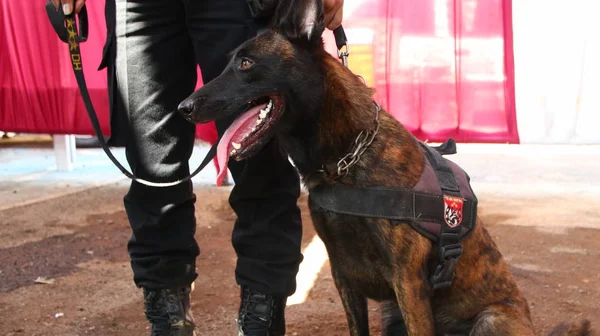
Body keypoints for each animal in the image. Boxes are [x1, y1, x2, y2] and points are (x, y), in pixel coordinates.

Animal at [176, 0, 592, 334]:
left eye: (246, 64)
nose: (183, 108)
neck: (346, 159)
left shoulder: (408, 284)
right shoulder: (345, 277)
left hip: (490, 319)